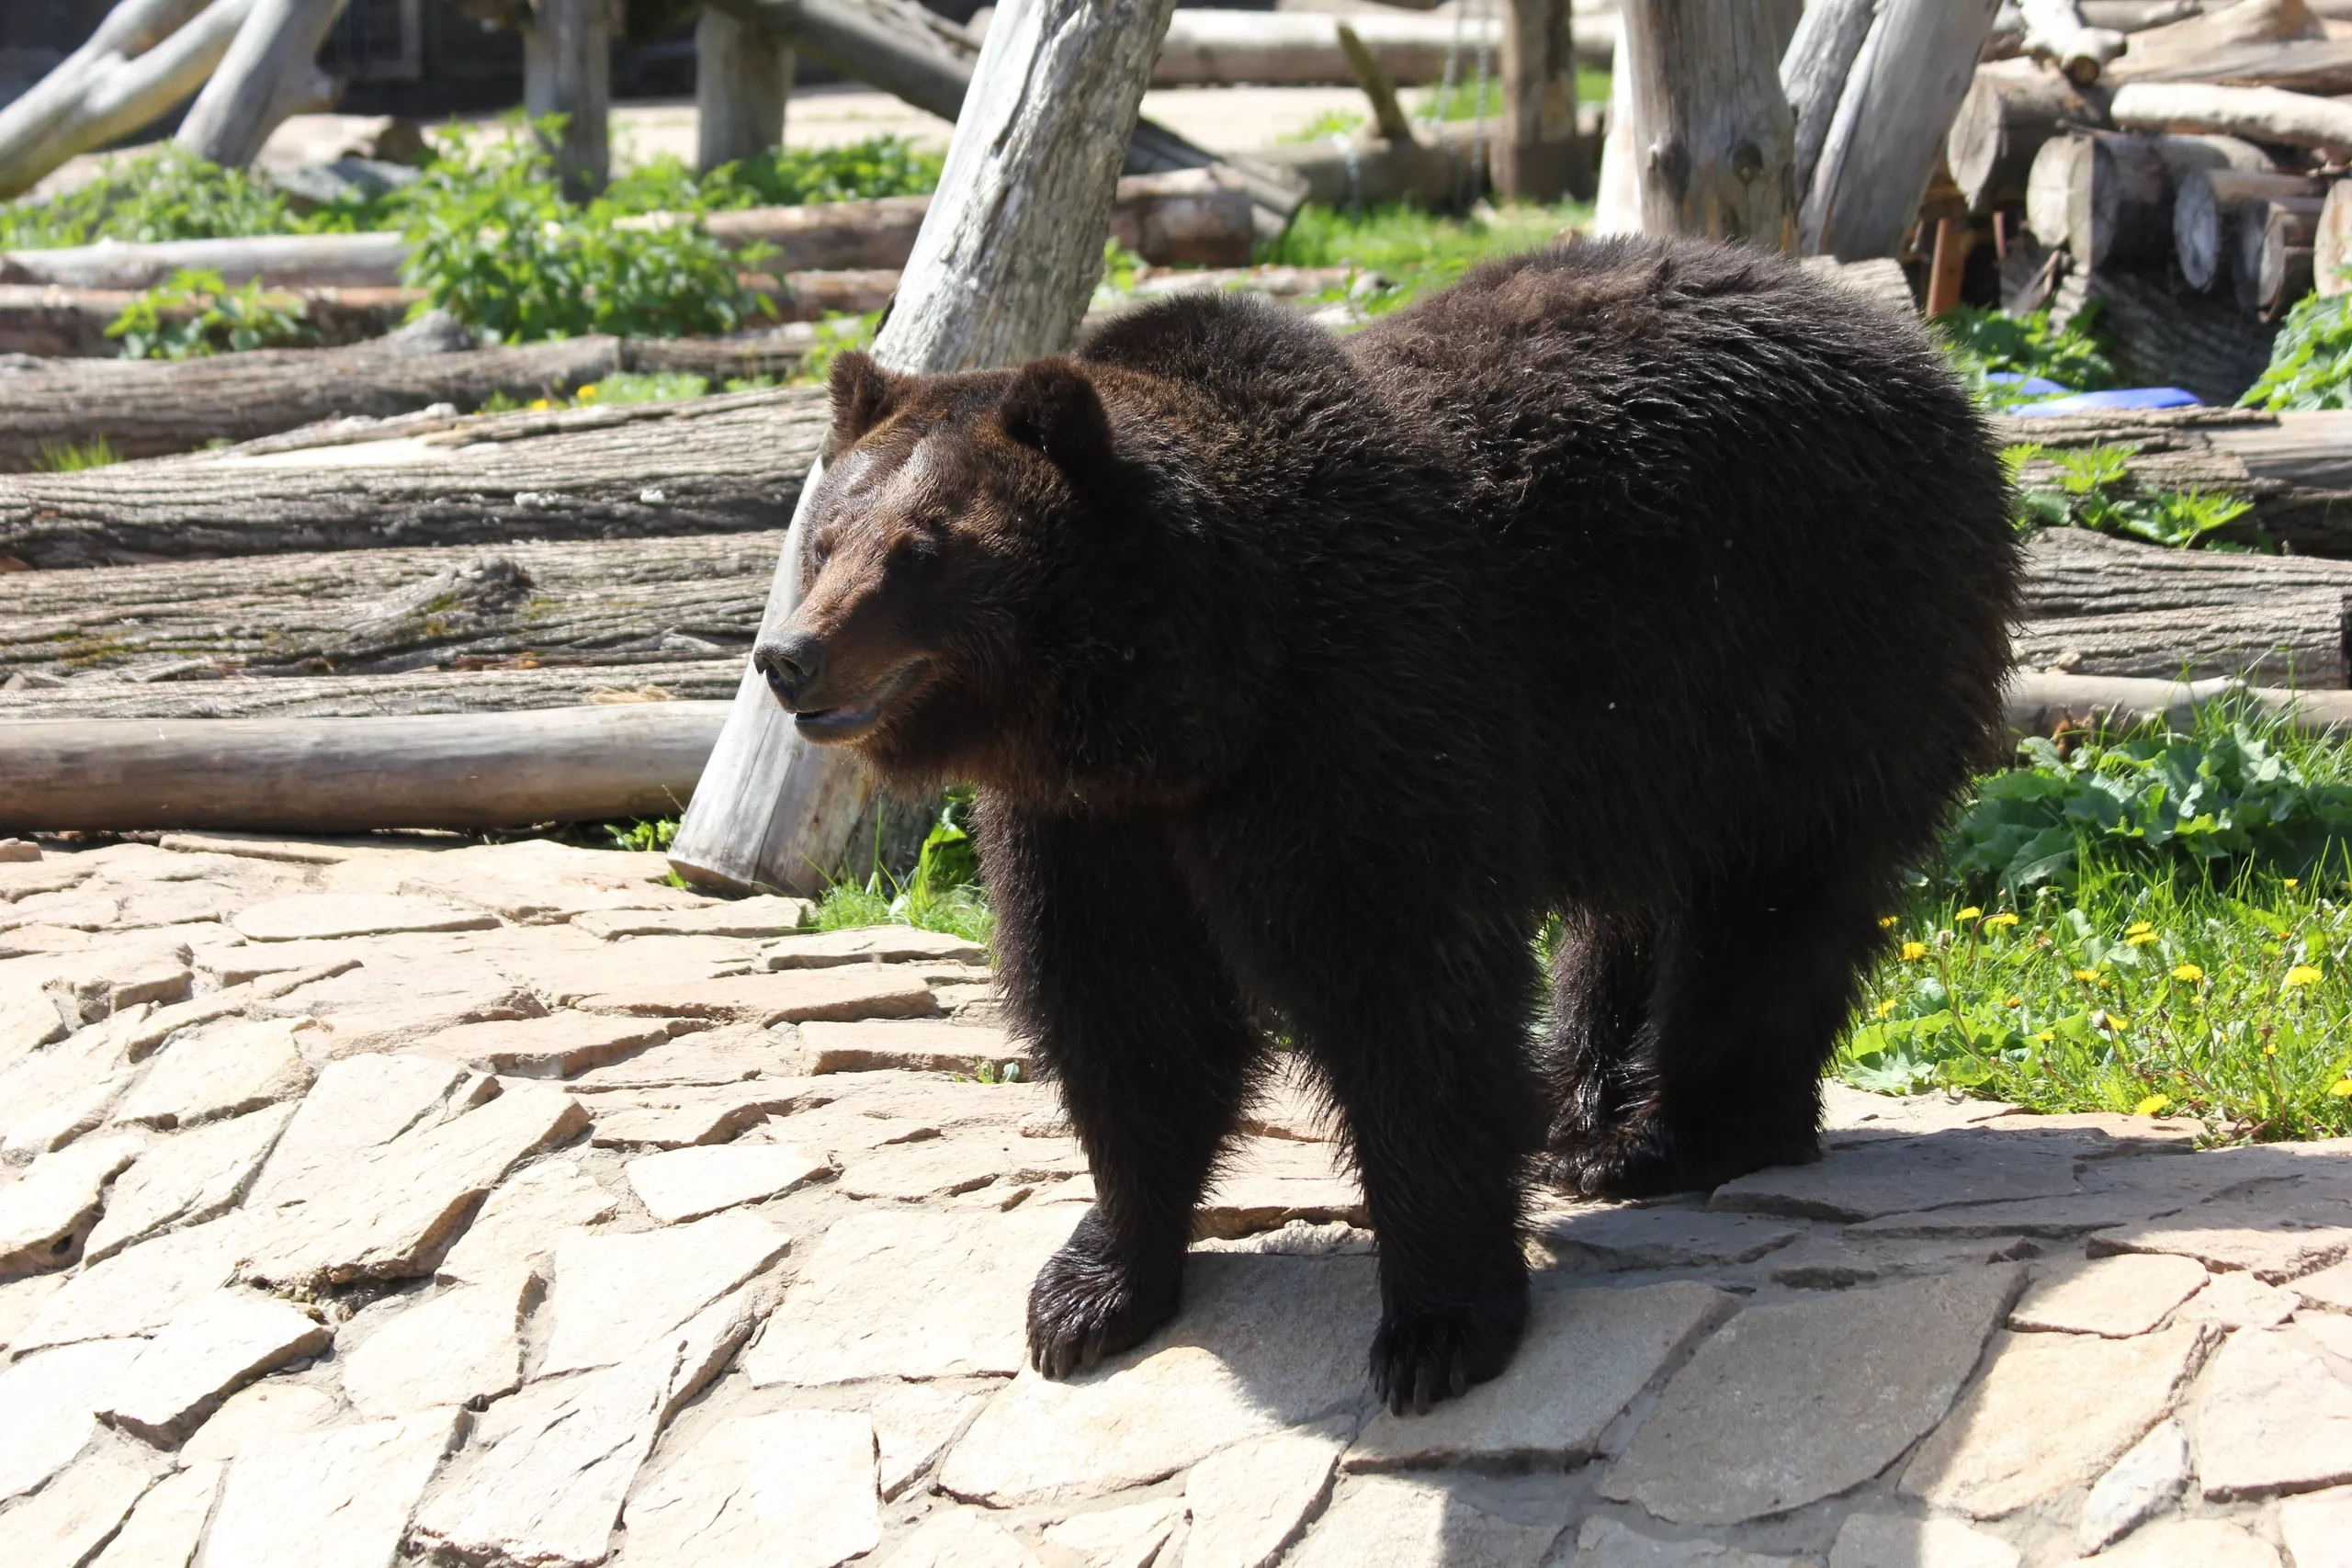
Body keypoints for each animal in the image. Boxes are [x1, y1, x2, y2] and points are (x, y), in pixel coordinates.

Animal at [752, 236, 2022, 1419]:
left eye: (922, 549)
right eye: (822, 535)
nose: (786, 656)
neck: (1191, 691)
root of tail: (1918, 352)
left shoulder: (1355, 710)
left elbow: (1401, 994)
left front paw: (1437, 1324)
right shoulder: (1095, 819)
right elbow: (1125, 1009)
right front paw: (1093, 1289)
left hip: (1816, 645)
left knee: (1770, 903)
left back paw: (1679, 1134)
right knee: (1634, 912)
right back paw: (1581, 1112)